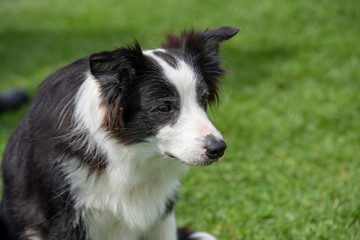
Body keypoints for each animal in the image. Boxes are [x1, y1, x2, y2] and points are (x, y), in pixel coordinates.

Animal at [0, 26, 239, 240]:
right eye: (164, 107)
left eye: (203, 99)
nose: (218, 148)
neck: (127, 154)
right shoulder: (62, 219)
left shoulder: (162, 215)